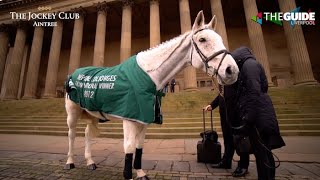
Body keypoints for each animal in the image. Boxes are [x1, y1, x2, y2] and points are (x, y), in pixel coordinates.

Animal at [65, 11, 239, 180]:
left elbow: (139, 147)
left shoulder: (144, 119)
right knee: (72, 134)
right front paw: (128, 175)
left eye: (221, 39)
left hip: (92, 113)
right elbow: (129, 147)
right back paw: (70, 162)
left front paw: (141, 173)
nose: (232, 70)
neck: (149, 75)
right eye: (202, 39)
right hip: (73, 113)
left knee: (87, 133)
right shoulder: (129, 119)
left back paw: (90, 162)